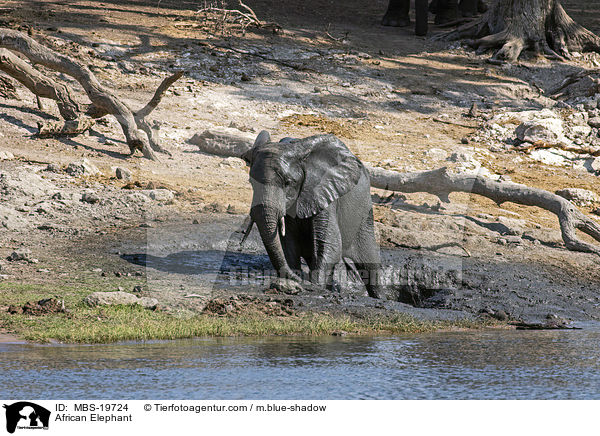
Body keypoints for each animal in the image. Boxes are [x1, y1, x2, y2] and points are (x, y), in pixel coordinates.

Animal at [241, 131, 382, 298]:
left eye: (288, 183)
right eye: (251, 182)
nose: (303, 279)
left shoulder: (324, 194)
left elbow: (330, 246)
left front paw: (315, 285)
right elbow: (289, 244)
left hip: (365, 214)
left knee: (370, 265)